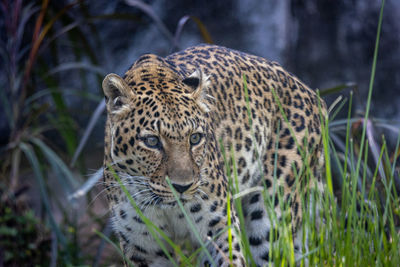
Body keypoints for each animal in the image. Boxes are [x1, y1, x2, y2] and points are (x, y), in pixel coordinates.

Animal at [101, 43, 326, 266]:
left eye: (195, 138)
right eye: (152, 141)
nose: (182, 187)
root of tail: (310, 92)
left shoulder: (220, 229)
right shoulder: (143, 248)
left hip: (272, 215)